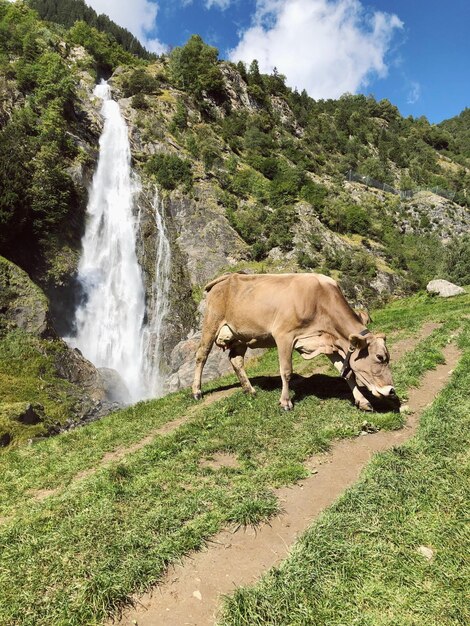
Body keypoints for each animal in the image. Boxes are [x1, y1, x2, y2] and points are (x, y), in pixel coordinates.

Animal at [192, 272, 396, 410]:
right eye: (379, 357)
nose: (391, 390)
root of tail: (228, 276)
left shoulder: (328, 342)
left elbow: (347, 373)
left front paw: (362, 401)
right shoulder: (284, 335)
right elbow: (286, 371)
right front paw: (285, 402)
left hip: (242, 335)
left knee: (235, 360)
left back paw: (250, 390)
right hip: (211, 323)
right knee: (201, 355)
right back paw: (196, 391)